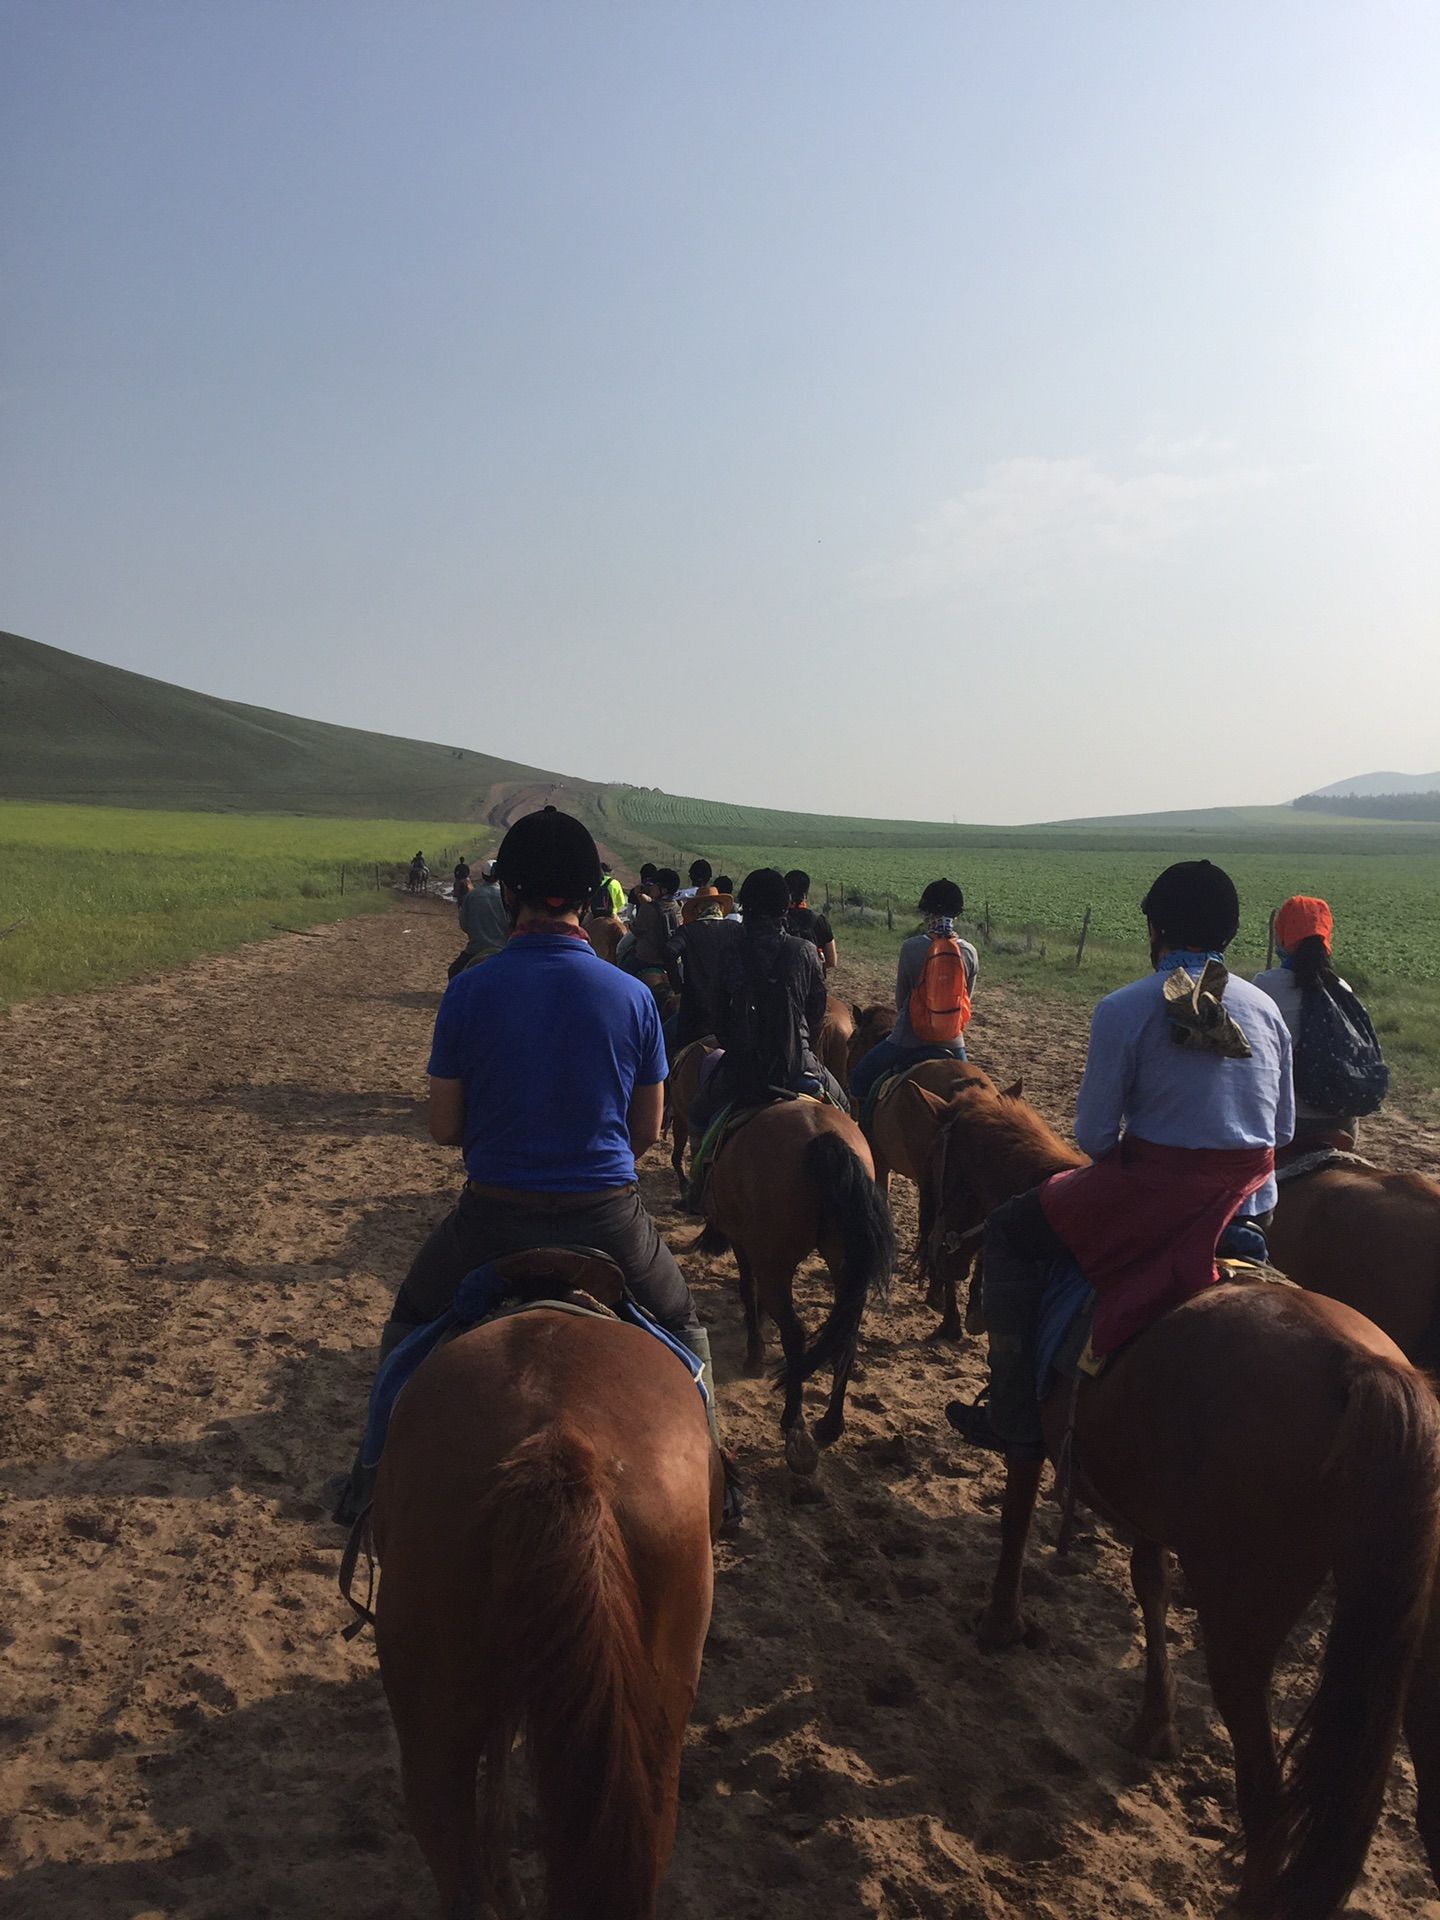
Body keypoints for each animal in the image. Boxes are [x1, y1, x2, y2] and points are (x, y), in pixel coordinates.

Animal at [706, 1105, 898, 1489]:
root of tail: (821, 1137)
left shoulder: (744, 1245)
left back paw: (794, 1423)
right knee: (846, 1337)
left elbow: (747, 1291)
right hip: (843, 1262)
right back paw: (830, 1423)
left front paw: (755, 1353)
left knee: (794, 1333)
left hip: (775, 1263)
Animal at [925, 1082, 1440, 1920]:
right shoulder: (1149, 1503)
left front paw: (1000, 1624)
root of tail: (1369, 1374)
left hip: (1242, 1628)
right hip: (1417, 1641)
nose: (938, 1246)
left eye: (940, 1159)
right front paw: (1154, 1724)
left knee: (1264, 1800)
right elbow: (1149, 1586)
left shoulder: (1034, 1438)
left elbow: (1014, 1519)